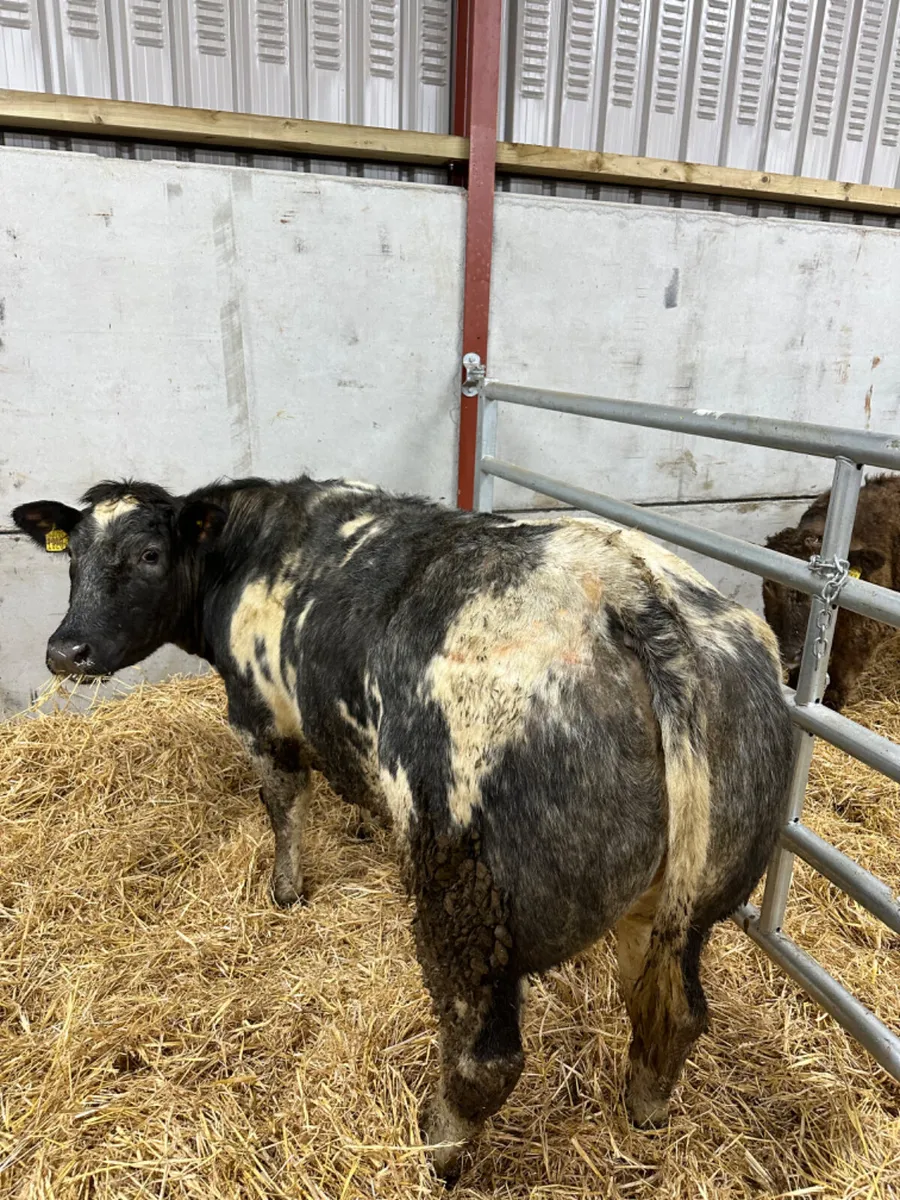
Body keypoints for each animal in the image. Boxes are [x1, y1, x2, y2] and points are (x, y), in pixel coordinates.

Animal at [12, 476, 793, 1181]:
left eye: (148, 554)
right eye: (72, 556)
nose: (64, 650)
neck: (251, 547)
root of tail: (631, 586)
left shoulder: (261, 717)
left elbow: (284, 805)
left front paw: (286, 890)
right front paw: (361, 828)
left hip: (469, 899)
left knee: (484, 1060)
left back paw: (434, 1151)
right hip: (684, 902)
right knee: (673, 1011)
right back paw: (645, 1110)